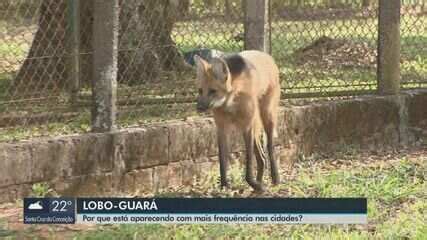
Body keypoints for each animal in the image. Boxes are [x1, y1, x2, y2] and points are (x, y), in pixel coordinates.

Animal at [194, 50, 280, 191]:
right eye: (200, 90)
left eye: (213, 91)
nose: (199, 108)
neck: (230, 101)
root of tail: (267, 56)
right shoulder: (222, 128)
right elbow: (222, 160)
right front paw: (224, 185)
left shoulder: (246, 126)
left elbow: (249, 161)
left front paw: (252, 183)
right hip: (254, 124)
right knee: (261, 157)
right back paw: (259, 181)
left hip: (266, 115)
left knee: (269, 148)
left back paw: (275, 179)